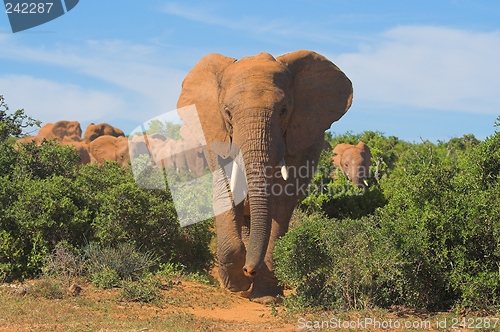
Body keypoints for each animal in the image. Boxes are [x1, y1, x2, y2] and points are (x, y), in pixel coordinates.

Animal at [176, 50, 352, 304]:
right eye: (228, 113)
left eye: (284, 110)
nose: (249, 270)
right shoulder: (216, 134)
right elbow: (224, 194)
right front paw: (237, 283)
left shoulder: (299, 140)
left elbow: (281, 205)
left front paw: (265, 297)